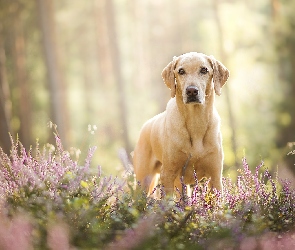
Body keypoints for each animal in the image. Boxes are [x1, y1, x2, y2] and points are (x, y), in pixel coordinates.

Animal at [133, 52, 230, 195]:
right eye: (181, 71)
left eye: (204, 70)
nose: (191, 91)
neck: (196, 122)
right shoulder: (168, 174)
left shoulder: (215, 176)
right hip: (144, 179)